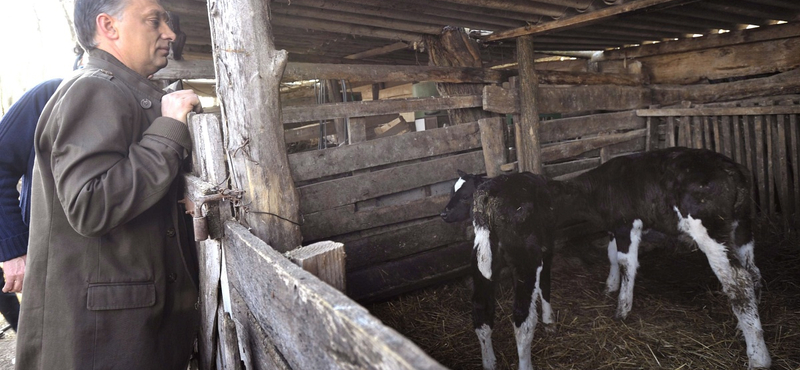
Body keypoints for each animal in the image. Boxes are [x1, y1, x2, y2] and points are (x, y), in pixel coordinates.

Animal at [440, 148, 772, 370]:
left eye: (463, 195)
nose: (442, 214)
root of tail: (734, 170)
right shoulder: (615, 225)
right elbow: (612, 255)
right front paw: (611, 287)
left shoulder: (626, 223)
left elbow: (627, 263)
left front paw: (622, 308)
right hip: (742, 225)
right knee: (753, 271)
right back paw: (744, 328)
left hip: (711, 230)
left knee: (738, 280)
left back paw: (758, 356)